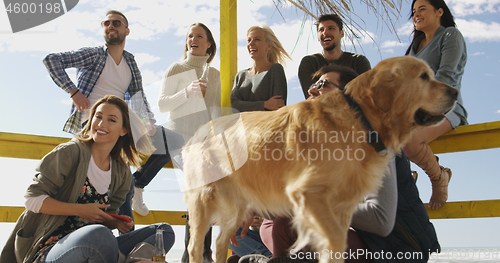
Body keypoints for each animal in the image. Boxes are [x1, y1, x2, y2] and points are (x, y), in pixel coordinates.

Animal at [183, 56, 458, 263]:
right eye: (423, 77)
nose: (455, 91)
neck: (358, 117)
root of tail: (199, 129)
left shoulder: (342, 207)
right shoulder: (309, 194)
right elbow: (335, 242)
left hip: (237, 206)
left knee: (220, 243)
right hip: (203, 199)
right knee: (195, 246)